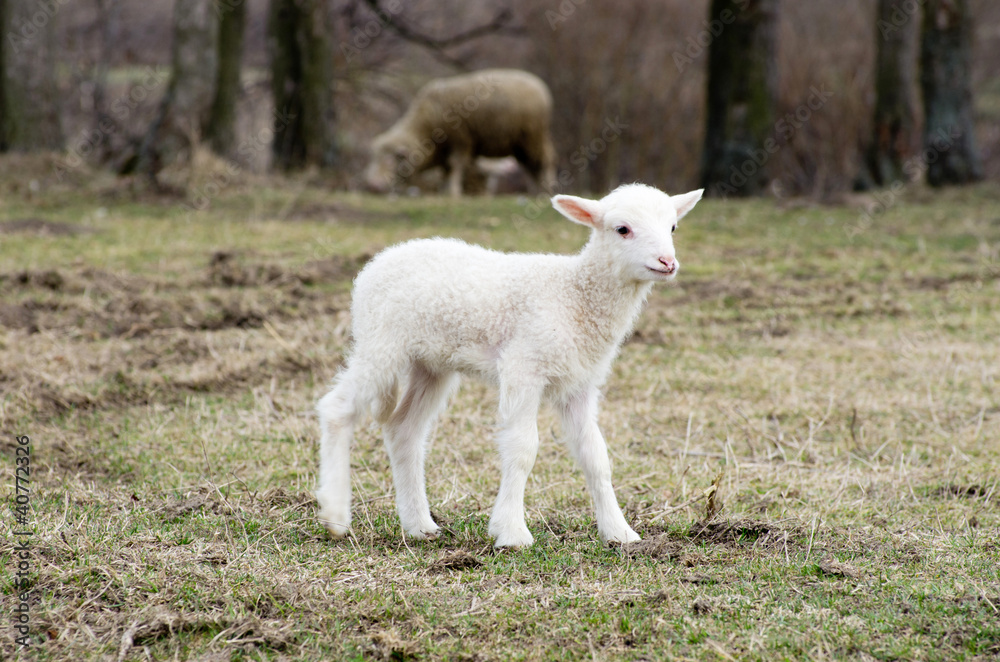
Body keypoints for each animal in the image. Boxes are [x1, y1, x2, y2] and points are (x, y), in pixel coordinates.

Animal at [315, 184, 703, 547]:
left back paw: (420, 526)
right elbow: (522, 448)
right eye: (622, 229)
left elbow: (595, 455)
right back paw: (336, 516)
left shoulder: (580, 382)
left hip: (431, 364)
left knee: (404, 430)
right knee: (337, 408)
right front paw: (512, 532)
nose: (667, 262)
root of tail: (378, 261)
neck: (574, 296)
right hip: (382, 342)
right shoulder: (523, 365)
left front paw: (619, 532)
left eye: (672, 227)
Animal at [363, 69, 557, 197]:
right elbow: (446, 170)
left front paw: (453, 193)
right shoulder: (444, 149)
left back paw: (547, 190)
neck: (426, 126)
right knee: (529, 166)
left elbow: (455, 165)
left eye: (391, 160)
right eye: (374, 158)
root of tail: (539, 84)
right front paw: (443, 191)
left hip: (534, 136)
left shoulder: (461, 139)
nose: (372, 185)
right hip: (519, 143)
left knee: (544, 162)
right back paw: (535, 192)